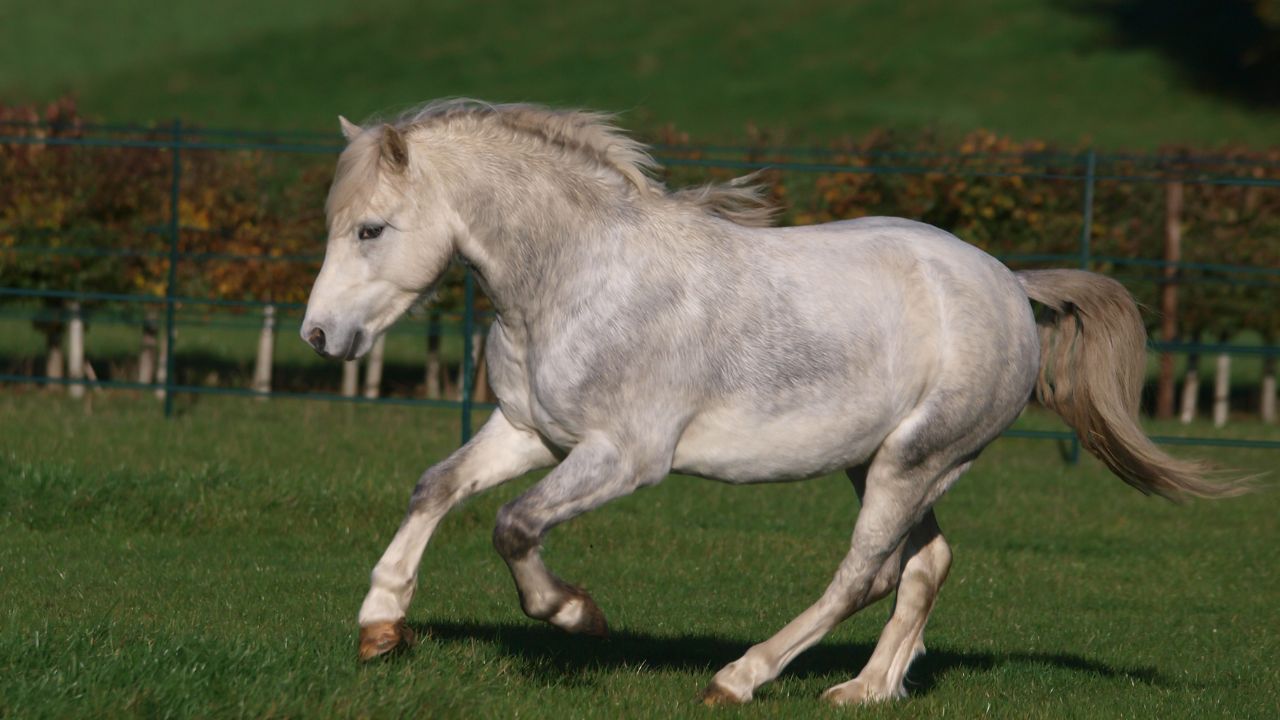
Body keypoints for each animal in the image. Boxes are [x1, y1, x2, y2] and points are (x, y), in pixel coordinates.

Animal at [300, 100, 1237, 705]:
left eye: (370, 230)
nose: (319, 335)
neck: (578, 277)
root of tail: (1010, 283)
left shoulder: (624, 458)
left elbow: (514, 527)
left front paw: (577, 615)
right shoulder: (534, 433)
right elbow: (436, 488)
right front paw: (381, 625)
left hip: (916, 461)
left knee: (865, 573)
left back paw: (741, 678)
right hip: (882, 463)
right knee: (924, 565)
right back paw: (864, 690)